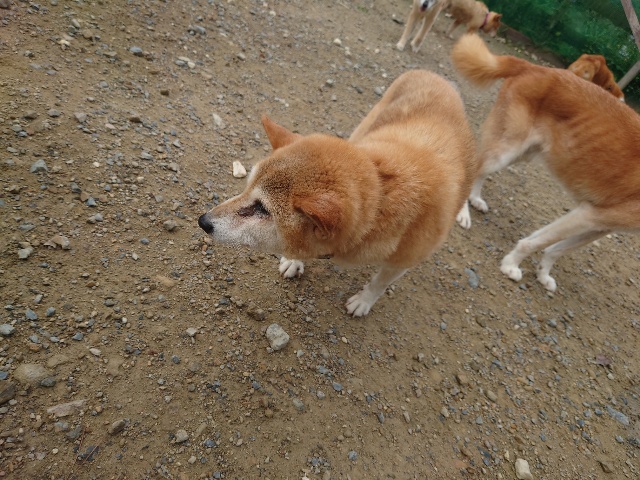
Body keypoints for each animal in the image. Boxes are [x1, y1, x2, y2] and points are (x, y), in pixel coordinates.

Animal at [198, 70, 477, 316]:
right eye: (246, 188)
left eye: (262, 209)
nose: (203, 221)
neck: (381, 196)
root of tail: (438, 77)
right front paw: (293, 260)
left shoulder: (404, 260)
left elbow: (379, 283)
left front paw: (364, 301)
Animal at [452, 34, 640, 292]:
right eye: (611, 86)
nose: (622, 98)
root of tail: (536, 68)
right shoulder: (589, 215)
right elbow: (536, 243)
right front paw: (510, 265)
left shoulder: (600, 225)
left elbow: (556, 249)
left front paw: (543, 273)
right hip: (508, 149)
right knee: (475, 168)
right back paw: (464, 212)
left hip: (522, 153)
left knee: (481, 172)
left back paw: (476, 198)